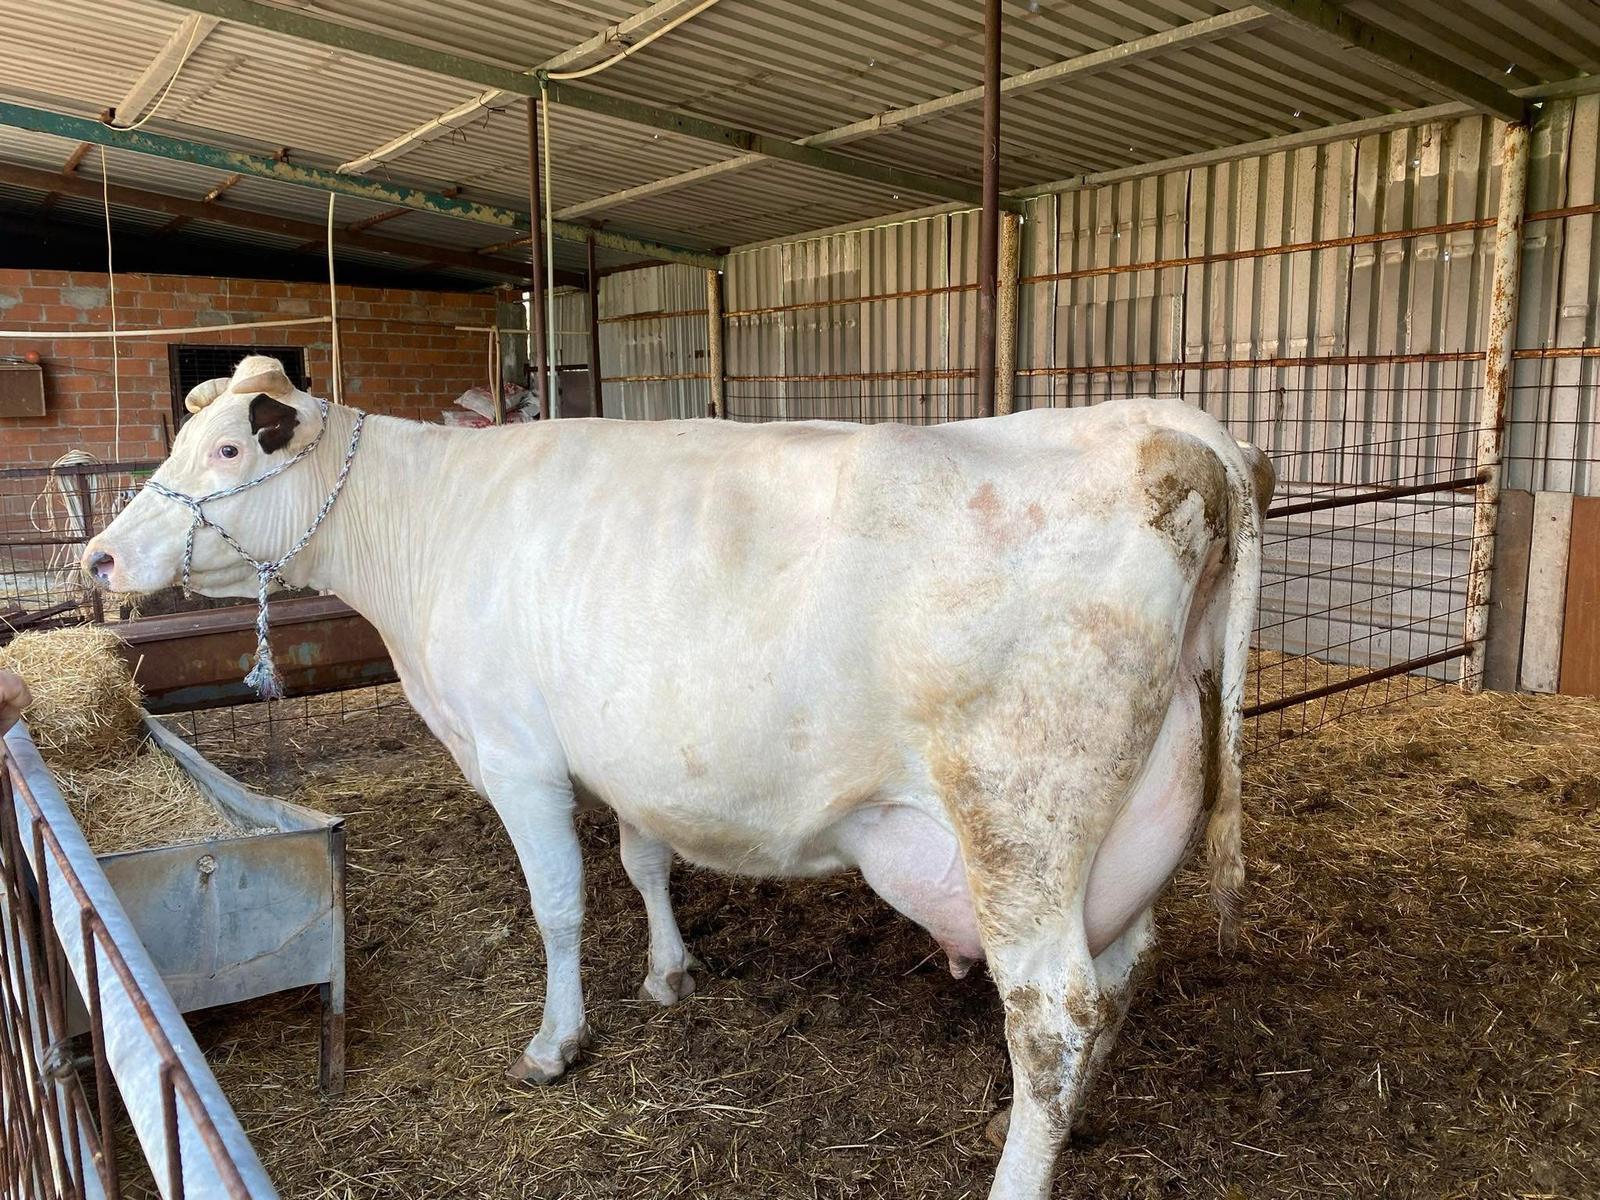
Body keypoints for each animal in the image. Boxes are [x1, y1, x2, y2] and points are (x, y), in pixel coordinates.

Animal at [85, 356, 1272, 1199]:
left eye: (227, 450)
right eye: (182, 441)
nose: (97, 558)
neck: (427, 526)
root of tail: (1171, 429)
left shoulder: (515, 751)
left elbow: (559, 904)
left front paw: (556, 1041)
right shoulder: (626, 753)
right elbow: (643, 859)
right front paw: (668, 973)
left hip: (1017, 821)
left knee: (1054, 1009)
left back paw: (1018, 1172)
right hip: (1127, 820)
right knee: (1116, 978)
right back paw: (1058, 1123)